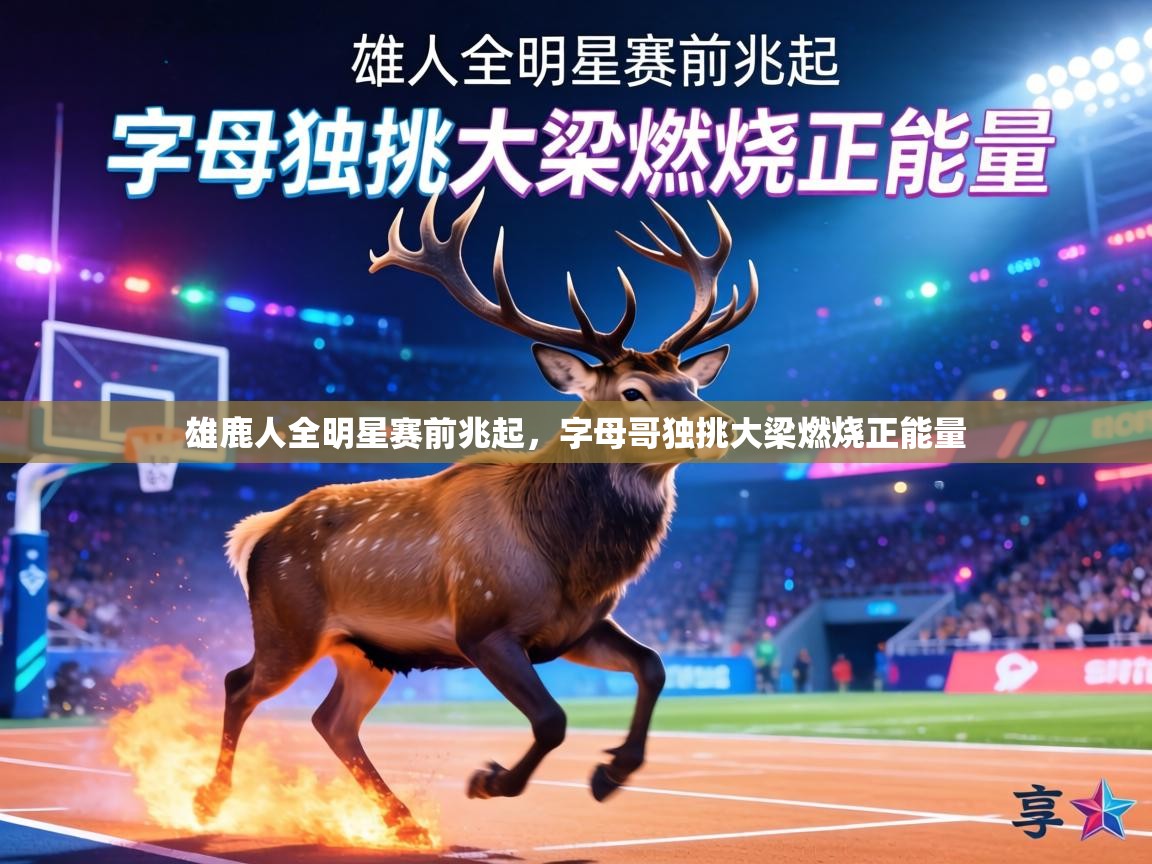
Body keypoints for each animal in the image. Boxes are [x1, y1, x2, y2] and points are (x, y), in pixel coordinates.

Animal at [194, 190, 758, 845]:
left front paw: (609, 773)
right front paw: (490, 781)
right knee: (241, 683)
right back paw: (209, 800)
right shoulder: (483, 626)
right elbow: (553, 718)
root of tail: (254, 535)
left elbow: (654, 666)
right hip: (288, 626)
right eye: (633, 391)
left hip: (366, 651)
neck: (565, 558)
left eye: (688, 383)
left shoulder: (576, 629)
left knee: (331, 719)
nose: (723, 427)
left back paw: (405, 823)